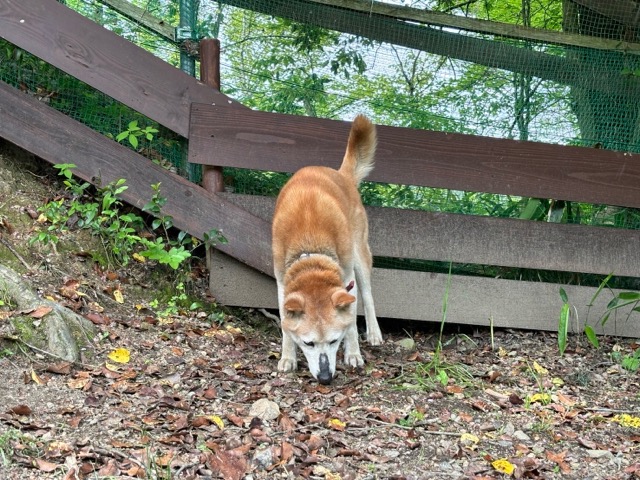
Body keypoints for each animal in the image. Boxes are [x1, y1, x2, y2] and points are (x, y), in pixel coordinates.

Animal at [271, 114, 383, 384]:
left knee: (368, 296)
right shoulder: (281, 281)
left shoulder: (346, 275)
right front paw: (287, 357)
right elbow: (285, 325)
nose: (325, 378)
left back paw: (374, 333)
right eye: (308, 343)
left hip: (360, 256)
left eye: (334, 341)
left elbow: (350, 322)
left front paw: (353, 353)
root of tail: (340, 174)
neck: (310, 248)